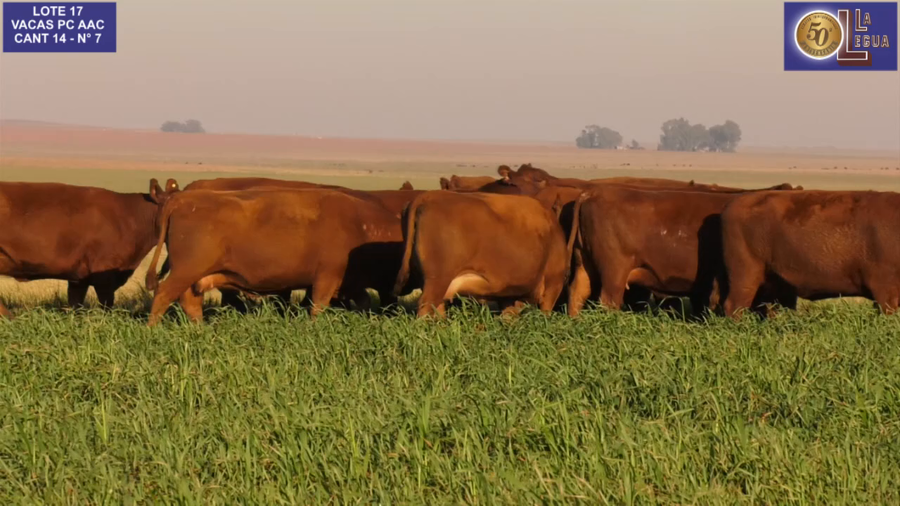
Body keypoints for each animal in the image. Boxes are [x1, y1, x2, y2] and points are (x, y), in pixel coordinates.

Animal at [144, 188, 404, 325]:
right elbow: (318, 305)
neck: (363, 227)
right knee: (163, 294)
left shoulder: (349, 283)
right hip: (185, 271)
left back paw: (200, 328)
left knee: (189, 301)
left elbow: (363, 301)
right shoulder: (327, 277)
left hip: (194, 277)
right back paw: (152, 329)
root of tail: (183, 199)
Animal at [393, 191, 569, 317]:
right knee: (426, 307)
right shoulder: (553, 285)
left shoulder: (509, 294)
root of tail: (428, 196)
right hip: (437, 281)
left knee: (438, 309)